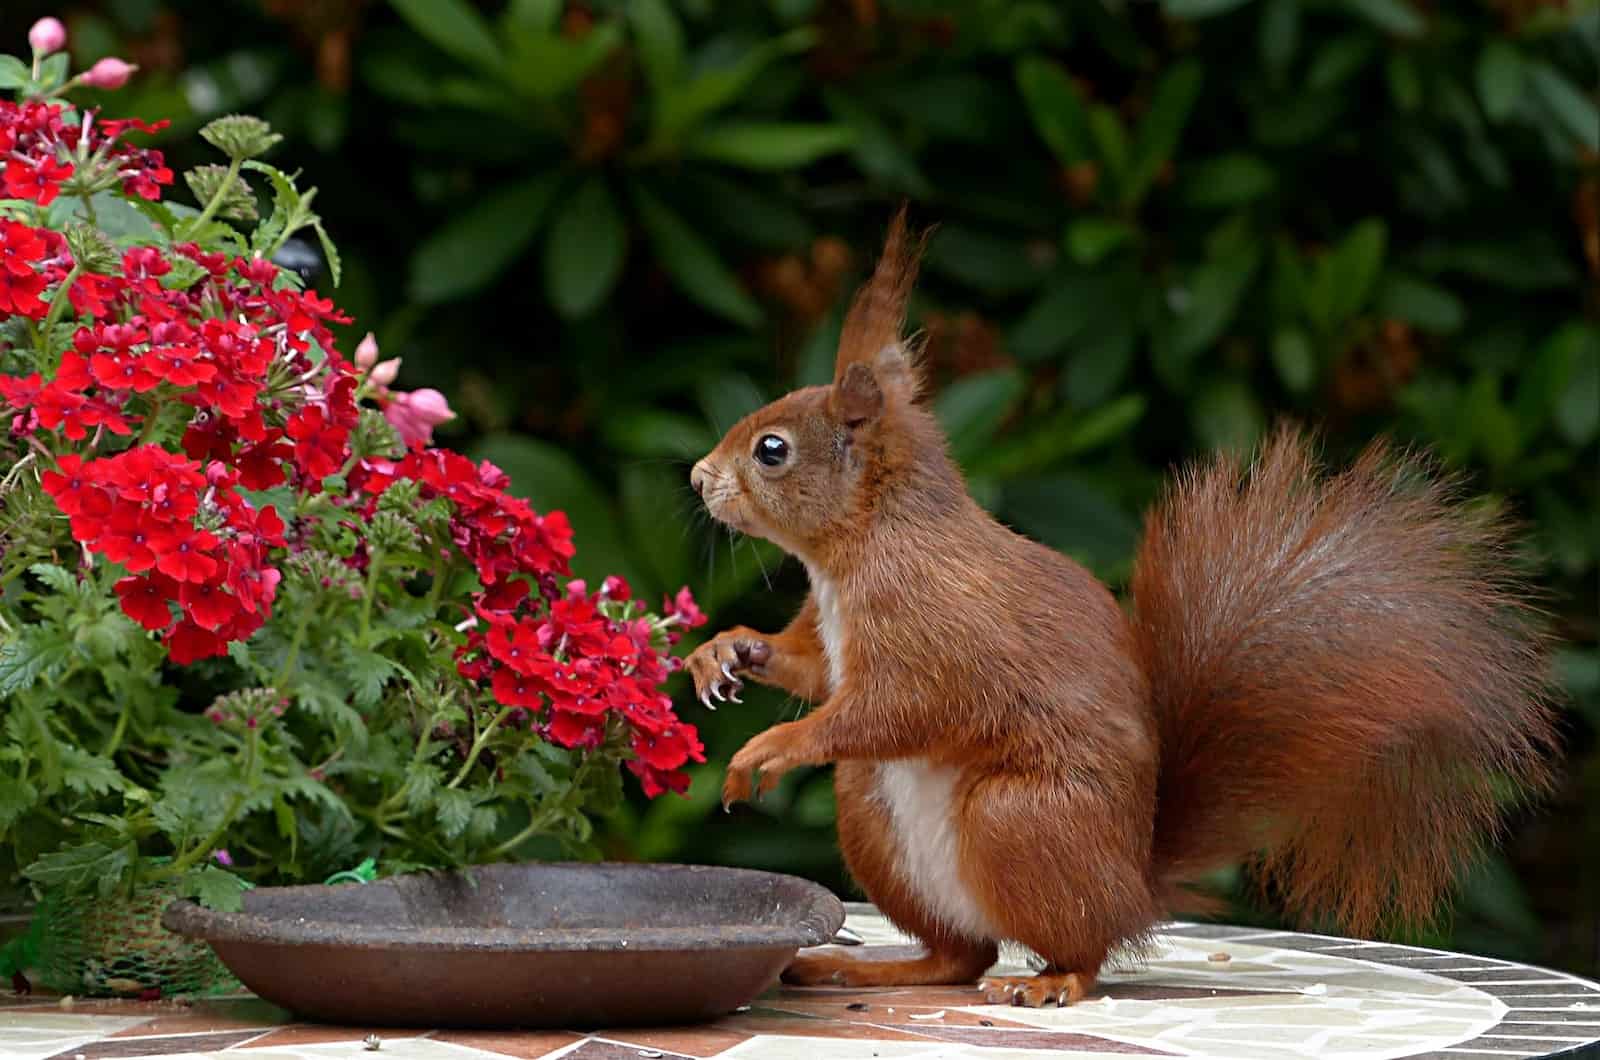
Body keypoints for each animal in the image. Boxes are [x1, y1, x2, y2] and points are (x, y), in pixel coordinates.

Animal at [681, 211, 1555, 1011]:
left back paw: (1049, 979)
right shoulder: (832, 634)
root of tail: (1134, 885)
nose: (695, 478)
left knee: (1076, 947)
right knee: (960, 954)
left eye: (772, 450)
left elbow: (898, 706)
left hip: (1018, 819)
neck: (858, 548)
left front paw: (772, 746)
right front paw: (725, 652)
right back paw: (864, 967)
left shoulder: (934, 623)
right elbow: (812, 670)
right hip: (872, 813)